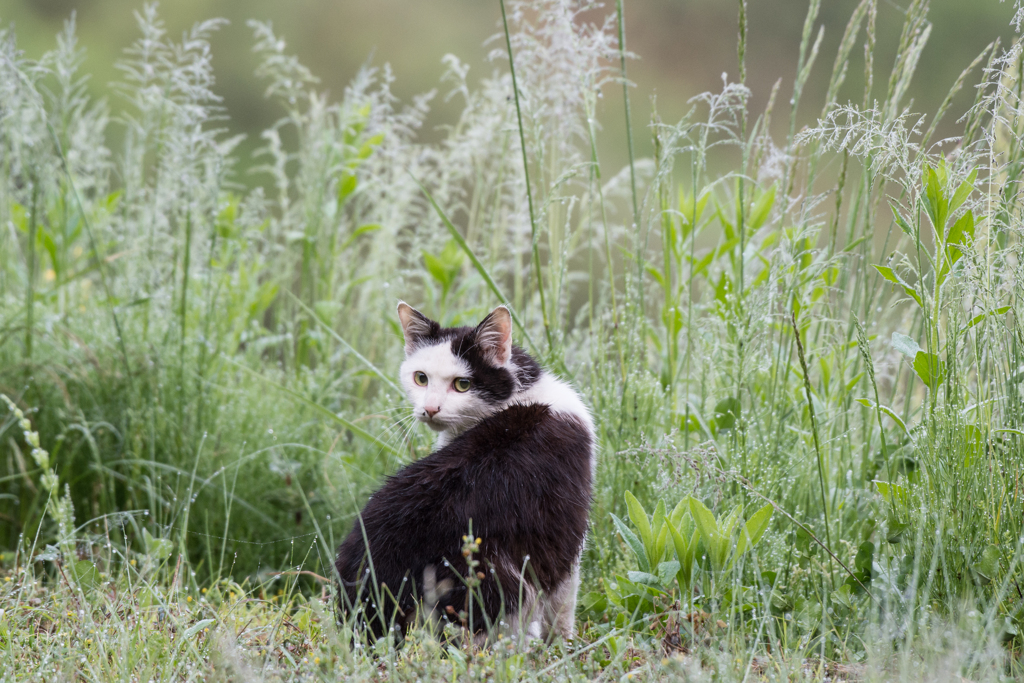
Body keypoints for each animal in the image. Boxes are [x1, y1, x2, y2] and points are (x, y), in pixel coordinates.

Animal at [331, 301, 598, 643]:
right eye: (421, 378)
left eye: (462, 384)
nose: (430, 409)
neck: (519, 397)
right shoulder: (563, 532)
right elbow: (563, 605)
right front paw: (565, 648)